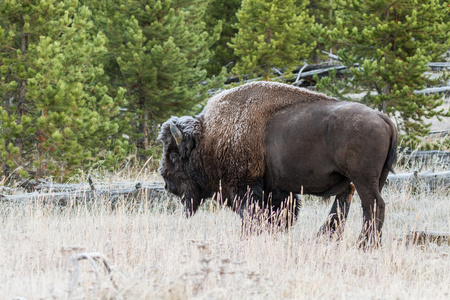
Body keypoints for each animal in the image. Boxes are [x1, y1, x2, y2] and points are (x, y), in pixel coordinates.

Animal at [158, 81, 398, 247]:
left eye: (173, 154)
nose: (166, 183)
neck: (209, 137)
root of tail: (382, 117)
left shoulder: (245, 188)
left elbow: (252, 215)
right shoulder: (276, 190)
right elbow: (280, 215)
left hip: (364, 179)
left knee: (373, 205)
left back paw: (365, 245)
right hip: (371, 178)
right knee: (355, 205)